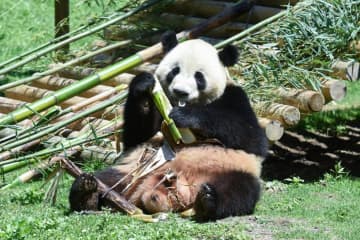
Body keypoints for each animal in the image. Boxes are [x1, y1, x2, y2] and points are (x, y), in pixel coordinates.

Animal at [69, 31, 268, 222]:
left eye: (199, 77)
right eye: (175, 71)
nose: (181, 92)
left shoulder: (235, 97)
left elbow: (252, 137)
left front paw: (185, 116)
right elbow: (136, 135)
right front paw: (144, 85)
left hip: (231, 169)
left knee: (239, 191)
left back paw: (209, 200)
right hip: (133, 169)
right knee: (108, 179)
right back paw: (86, 191)